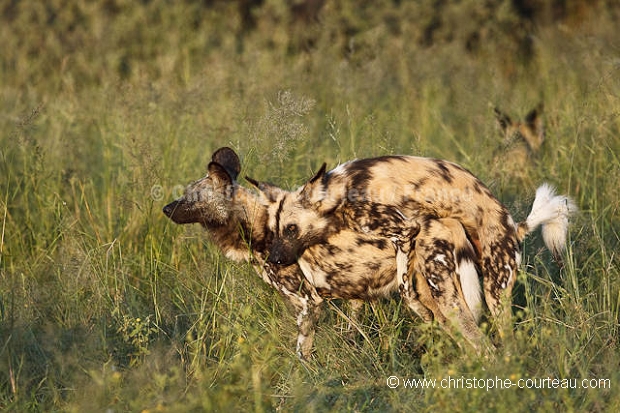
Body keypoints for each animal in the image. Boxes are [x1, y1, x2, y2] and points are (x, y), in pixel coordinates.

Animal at [162, 148, 486, 358]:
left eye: (190, 197)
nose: (165, 208)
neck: (259, 230)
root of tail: (447, 220)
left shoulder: (309, 305)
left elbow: (301, 357)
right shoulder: (351, 301)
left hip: (444, 299)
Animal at [262, 154, 576, 334]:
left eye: (292, 229)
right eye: (274, 231)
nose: (272, 260)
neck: (339, 191)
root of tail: (514, 225)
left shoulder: (404, 229)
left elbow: (404, 286)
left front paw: (416, 307)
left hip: (495, 291)